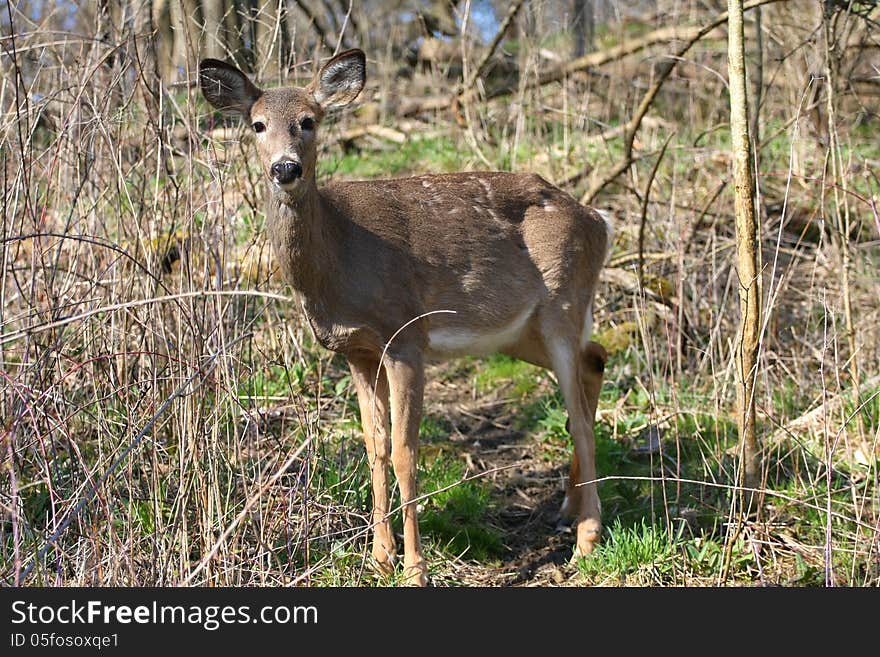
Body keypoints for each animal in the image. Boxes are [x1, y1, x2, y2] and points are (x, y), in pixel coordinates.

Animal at [199, 50, 612, 584]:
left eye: (309, 121)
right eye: (257, 124)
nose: (285, 167)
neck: (340, 258)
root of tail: (599, 219)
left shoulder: (406, 337)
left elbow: (404, 452)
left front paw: (415, 567)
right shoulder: (356, 351)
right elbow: (373, 448)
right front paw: (380, 556)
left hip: (563, 301)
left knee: (579, 415)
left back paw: (587, 537)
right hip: (521, 331)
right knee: (594, 360)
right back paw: (567, 506)